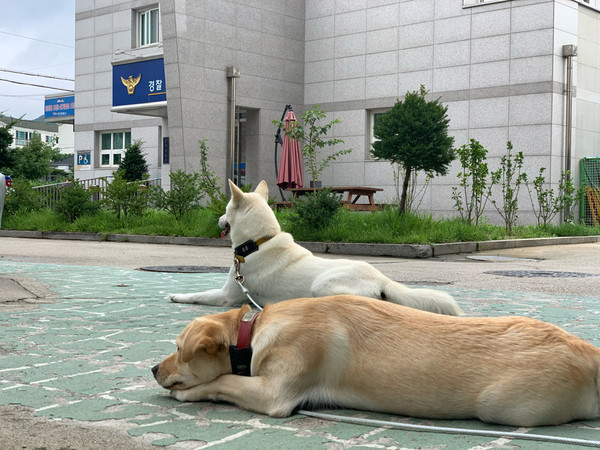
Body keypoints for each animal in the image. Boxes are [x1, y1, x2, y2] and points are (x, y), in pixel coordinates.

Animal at [152, 296, 600, 426]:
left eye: (177, 347)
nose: (153, 368)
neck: (254, 329)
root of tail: (590, 352)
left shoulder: (274, 394)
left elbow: (222, 382)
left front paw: (190, 392)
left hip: (501, 406)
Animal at [169, 180, 460, 316]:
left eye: (226, 209)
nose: (218, 220)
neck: (259, 243)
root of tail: (382, 279)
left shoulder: (227, 297)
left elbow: (199, 294)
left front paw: (177, 296)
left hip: (323, 286)